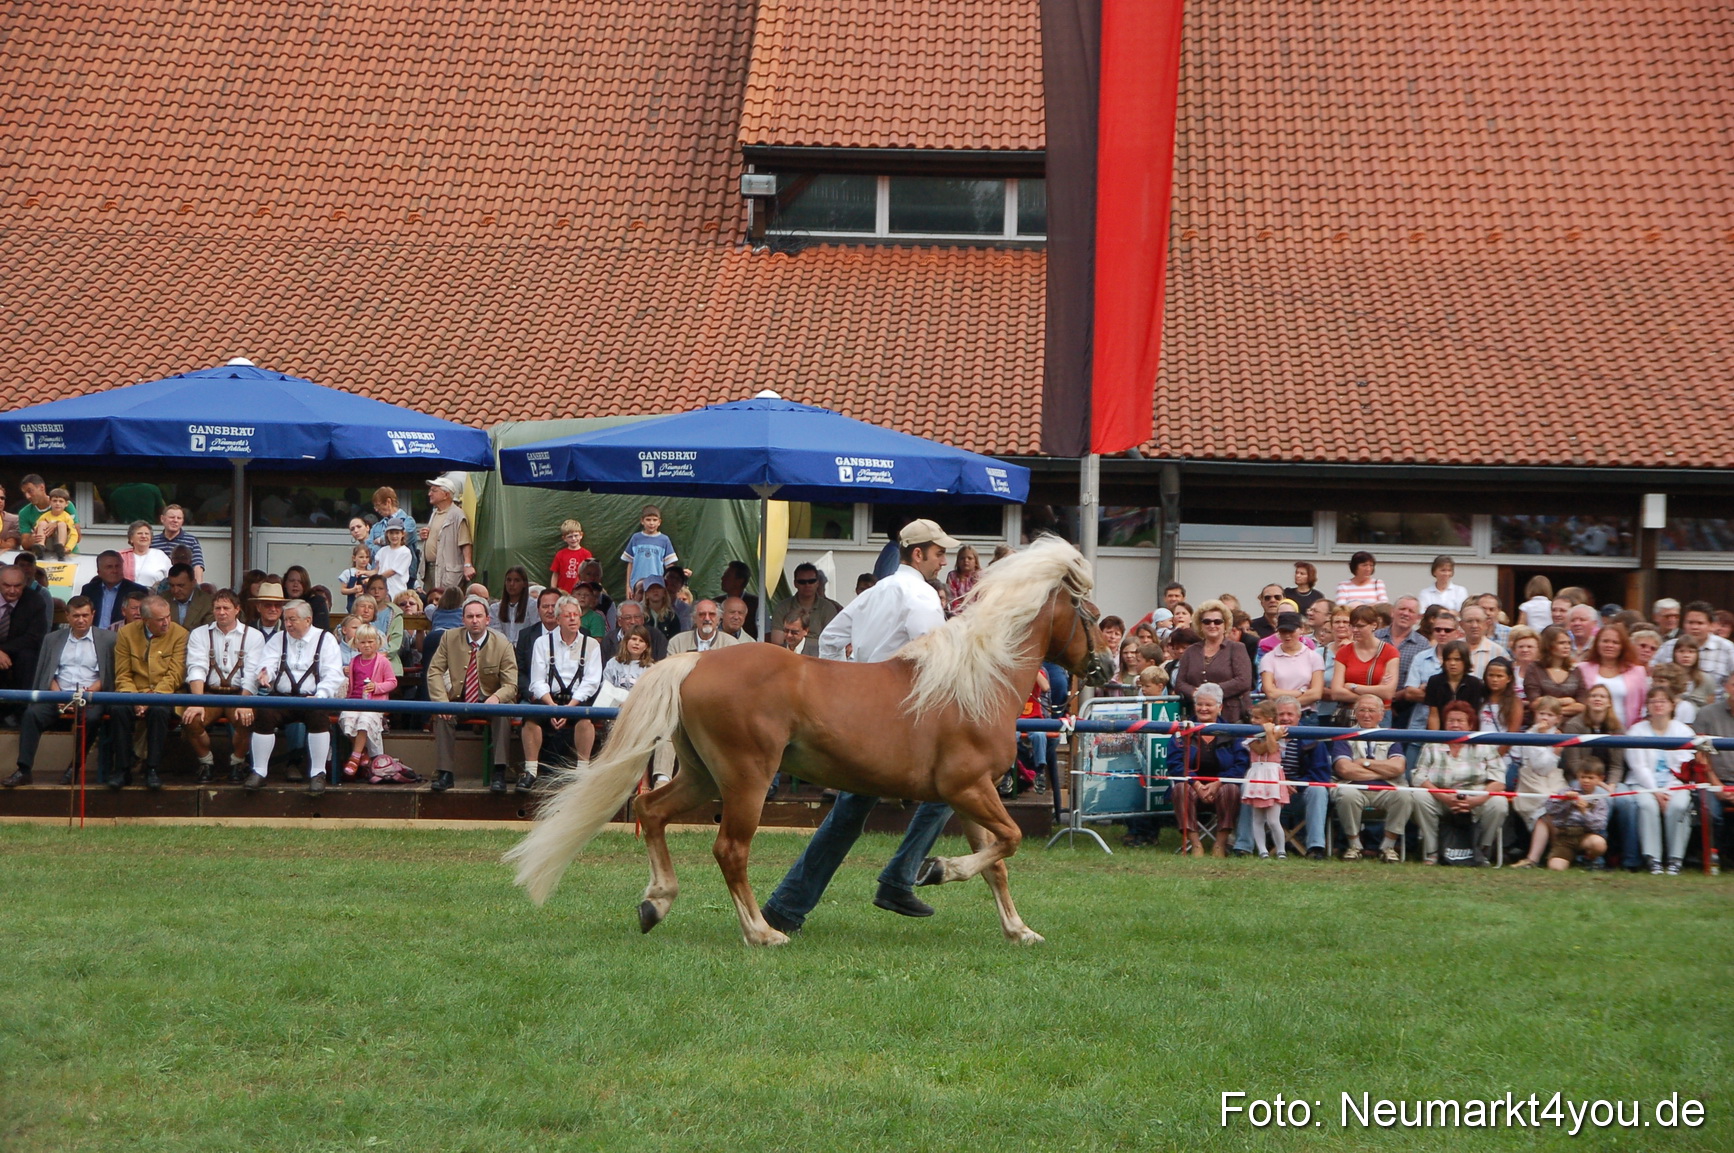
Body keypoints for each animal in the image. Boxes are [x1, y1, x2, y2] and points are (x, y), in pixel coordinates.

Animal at [505, 535, 1112, 946]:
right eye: (1090, 613)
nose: (1105, 668)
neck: (976, 681)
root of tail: (694, 660)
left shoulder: (967, 794)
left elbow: (998, 860)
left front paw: (1018, 929)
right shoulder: (968, 788)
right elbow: (1008, 841)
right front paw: (937, 871)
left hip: (701, 775)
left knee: (652, 811)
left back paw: (657, 904)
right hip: (746, 778)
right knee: (730, 849)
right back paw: (761, 932)